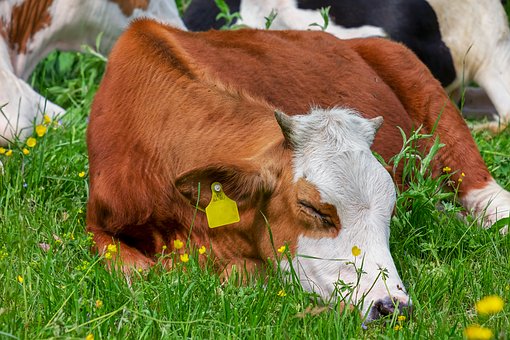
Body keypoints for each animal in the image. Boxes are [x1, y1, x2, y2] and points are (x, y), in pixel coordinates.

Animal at [86, 19, 510, 322]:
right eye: (313, 209)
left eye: (390, 210)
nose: (391, 306)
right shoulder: (96, 223)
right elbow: (135, 271)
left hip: (438, 107)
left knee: (491, 200)